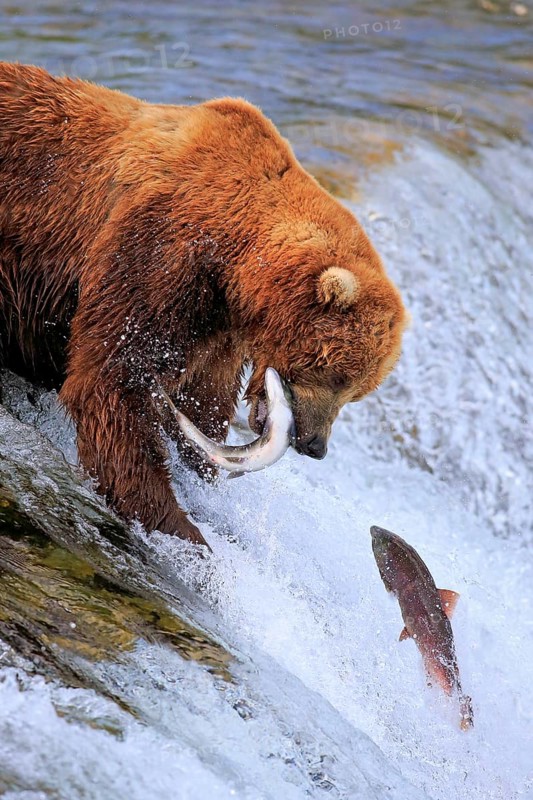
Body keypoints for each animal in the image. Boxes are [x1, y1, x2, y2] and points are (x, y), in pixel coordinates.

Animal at [0, 63, 407, 547]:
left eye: (357, 391)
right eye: (337, 374)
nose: (315, 445)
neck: (235, 260)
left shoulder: (219, 325)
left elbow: (204, 398)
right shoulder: (159, 254)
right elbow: (112, 378)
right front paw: (179, 526)